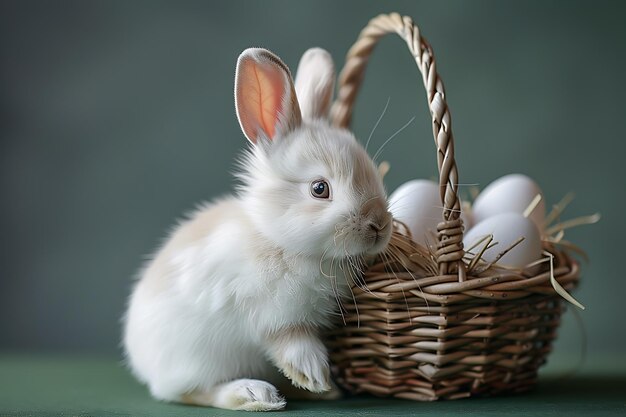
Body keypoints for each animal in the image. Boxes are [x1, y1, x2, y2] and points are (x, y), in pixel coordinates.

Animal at [123, 47, 390, 412]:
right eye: (320, 189)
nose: (379, 226)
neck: (280, 241)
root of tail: (139, 360)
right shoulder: (269, 315)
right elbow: (289, 341)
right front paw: (314, 374)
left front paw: (319, 384)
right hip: (196, 361)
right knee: (191, 392)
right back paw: (255, 395)